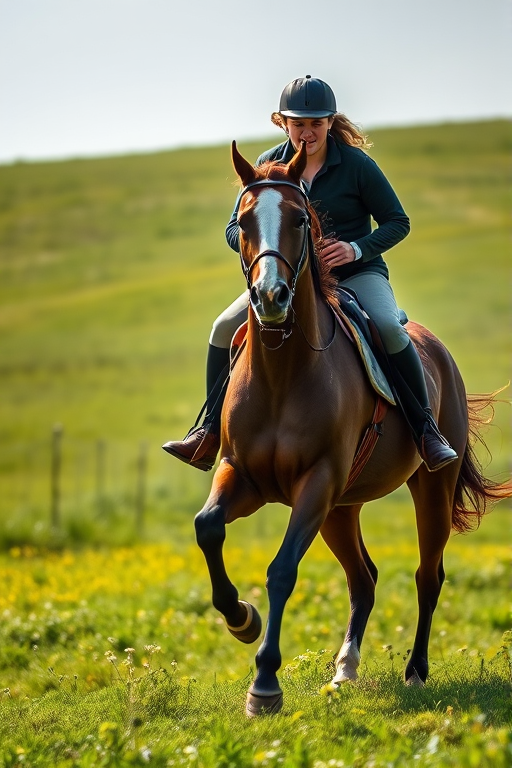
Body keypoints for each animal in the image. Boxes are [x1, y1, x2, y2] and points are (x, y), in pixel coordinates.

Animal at [193, 139, 511, 716]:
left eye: (300, 219)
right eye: (244, 221)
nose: (270, 298)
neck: (284, 371)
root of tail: (438, 351)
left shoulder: (314, 485)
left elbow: (282, 570)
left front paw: (264, 683)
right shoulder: (242, 476)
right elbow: (207, 528)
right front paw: (241, 619)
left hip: (427, 488)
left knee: (427, 576)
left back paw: (415, 671)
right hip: (342, 509)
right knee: (364, 580)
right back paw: (344, 670)